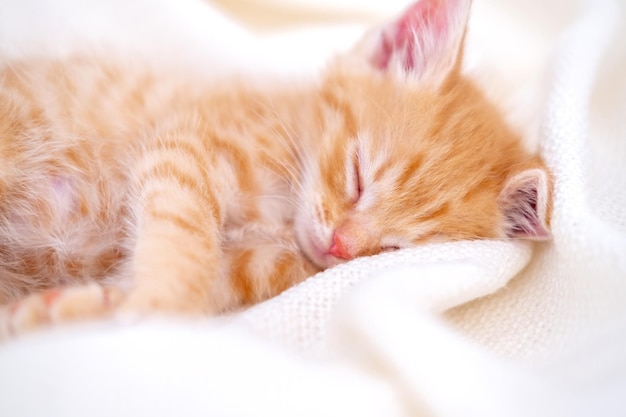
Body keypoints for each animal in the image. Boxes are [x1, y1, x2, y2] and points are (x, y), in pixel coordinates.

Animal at [0, 0, 544, 338]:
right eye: (357, 175)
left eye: (394, 248)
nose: (340, 246)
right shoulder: (187, 146)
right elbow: (185, 238)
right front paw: (161, 300)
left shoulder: (256, 268)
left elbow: (186, 277)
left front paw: (72, 310)